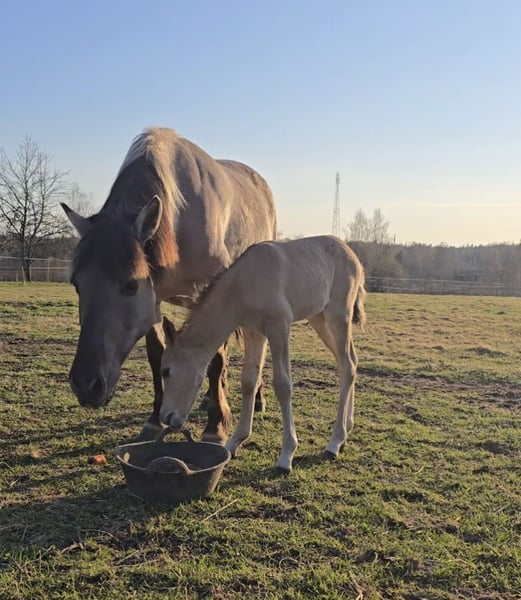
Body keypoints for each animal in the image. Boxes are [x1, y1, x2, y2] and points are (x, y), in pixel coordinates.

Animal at [62, 127, 277, 443]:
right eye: (77, 284)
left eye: (130, 285)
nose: (86, 385)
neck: (179, 219)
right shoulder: (155, 296)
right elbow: (157, 354)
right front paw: (154, 421)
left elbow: (216, 358)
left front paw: (215, 427)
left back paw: (255, 399)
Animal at [160, 235, 366, 474]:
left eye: (166, 371)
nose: (166, 416)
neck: (245, 282)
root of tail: (353, 255)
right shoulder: (254, 332)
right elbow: (249, 381)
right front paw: (234, 443)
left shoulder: (279, 326)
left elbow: (283, 385)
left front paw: (286, 455)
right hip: (319, 318)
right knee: (348, 363)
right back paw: (346, 430)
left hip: (339, 315)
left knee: (348, 364)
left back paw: (335, 442)